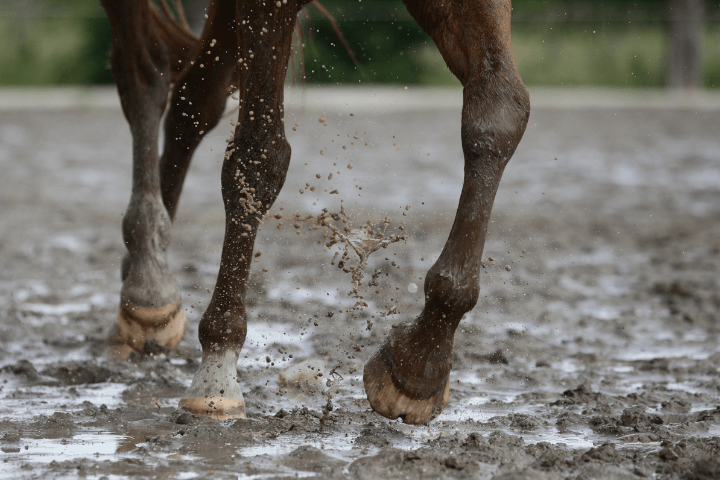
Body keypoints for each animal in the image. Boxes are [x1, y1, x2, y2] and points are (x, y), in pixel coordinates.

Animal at [100, 0, 530, 425]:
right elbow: (258, 155)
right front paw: (217, 375)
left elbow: (499, 111)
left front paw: (420, 362)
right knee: (145, 77)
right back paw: (148, 282)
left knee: (195, 98)